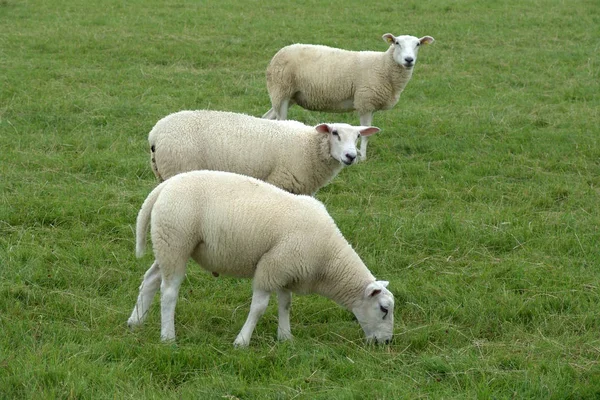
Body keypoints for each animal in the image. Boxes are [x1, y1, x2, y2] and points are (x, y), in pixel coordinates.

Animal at [127, 170, 394, 346]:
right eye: (383, 309)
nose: (387, 342)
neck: (328, 259)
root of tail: (164, 187)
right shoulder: (272, 267)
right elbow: (258, 308)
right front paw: (242, 341)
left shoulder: (286, 269)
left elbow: (285, 304)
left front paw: (285, 337)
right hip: (176, 240)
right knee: (169, 292)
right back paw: (167, 337)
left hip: (168, 243)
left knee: (150, 279)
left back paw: (135, 321)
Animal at [147, 110, 378, 195]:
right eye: (335, 133)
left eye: (358, 136)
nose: (351, 156)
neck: (309, 146)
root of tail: (155, 133)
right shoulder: (280, 181)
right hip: (178, 168)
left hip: (162, 173)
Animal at [264, 33, 434, 161]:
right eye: (397, 43)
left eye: (418, 44)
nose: (409, 60)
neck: (384, 67)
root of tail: (279, 53)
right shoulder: (365, 102)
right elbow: (366, 135)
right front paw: (362, 158)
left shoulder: (370, 105)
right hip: (281, 90)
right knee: (280, 120)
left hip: (288, 96)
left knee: (268, 117)